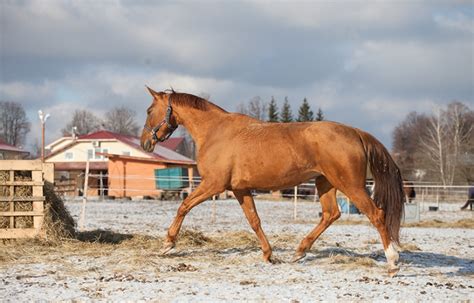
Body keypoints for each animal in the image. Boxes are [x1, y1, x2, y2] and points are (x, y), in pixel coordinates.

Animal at [141, 88, 404, 278]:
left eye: (149, 110)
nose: (145, 143)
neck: (216, 132)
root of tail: (356, 132)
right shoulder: (240, 189)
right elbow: (254, 221)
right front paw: (268, 255)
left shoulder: (213, 185)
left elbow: (183, 206)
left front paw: (167, 244)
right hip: (325, 184)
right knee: (331, 214)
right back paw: (299, 252)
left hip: (351, 185)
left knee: (376, 214)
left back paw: (392, 263)